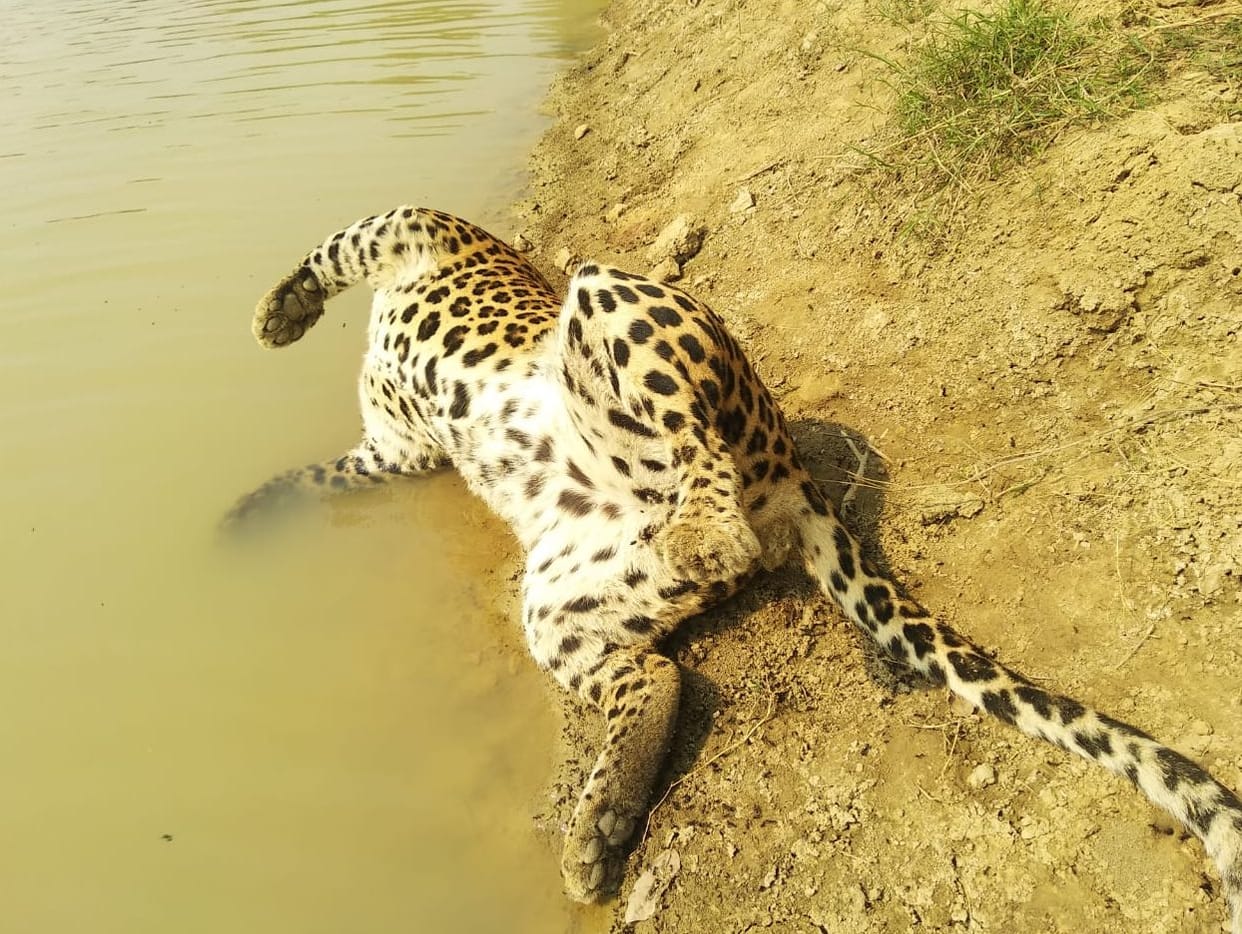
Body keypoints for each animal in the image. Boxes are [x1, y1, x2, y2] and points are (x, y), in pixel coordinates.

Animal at [227, 205, 1242, 931]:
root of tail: (790, 473)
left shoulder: (419, 228)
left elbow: (338, 239)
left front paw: (279, 311)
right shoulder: (390, 453)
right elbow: (319, 472)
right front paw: (245, 513)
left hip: (619, 299)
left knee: (697, 454)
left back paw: (702, 537)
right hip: (566, 596)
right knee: (658, 676)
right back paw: (599, 831)